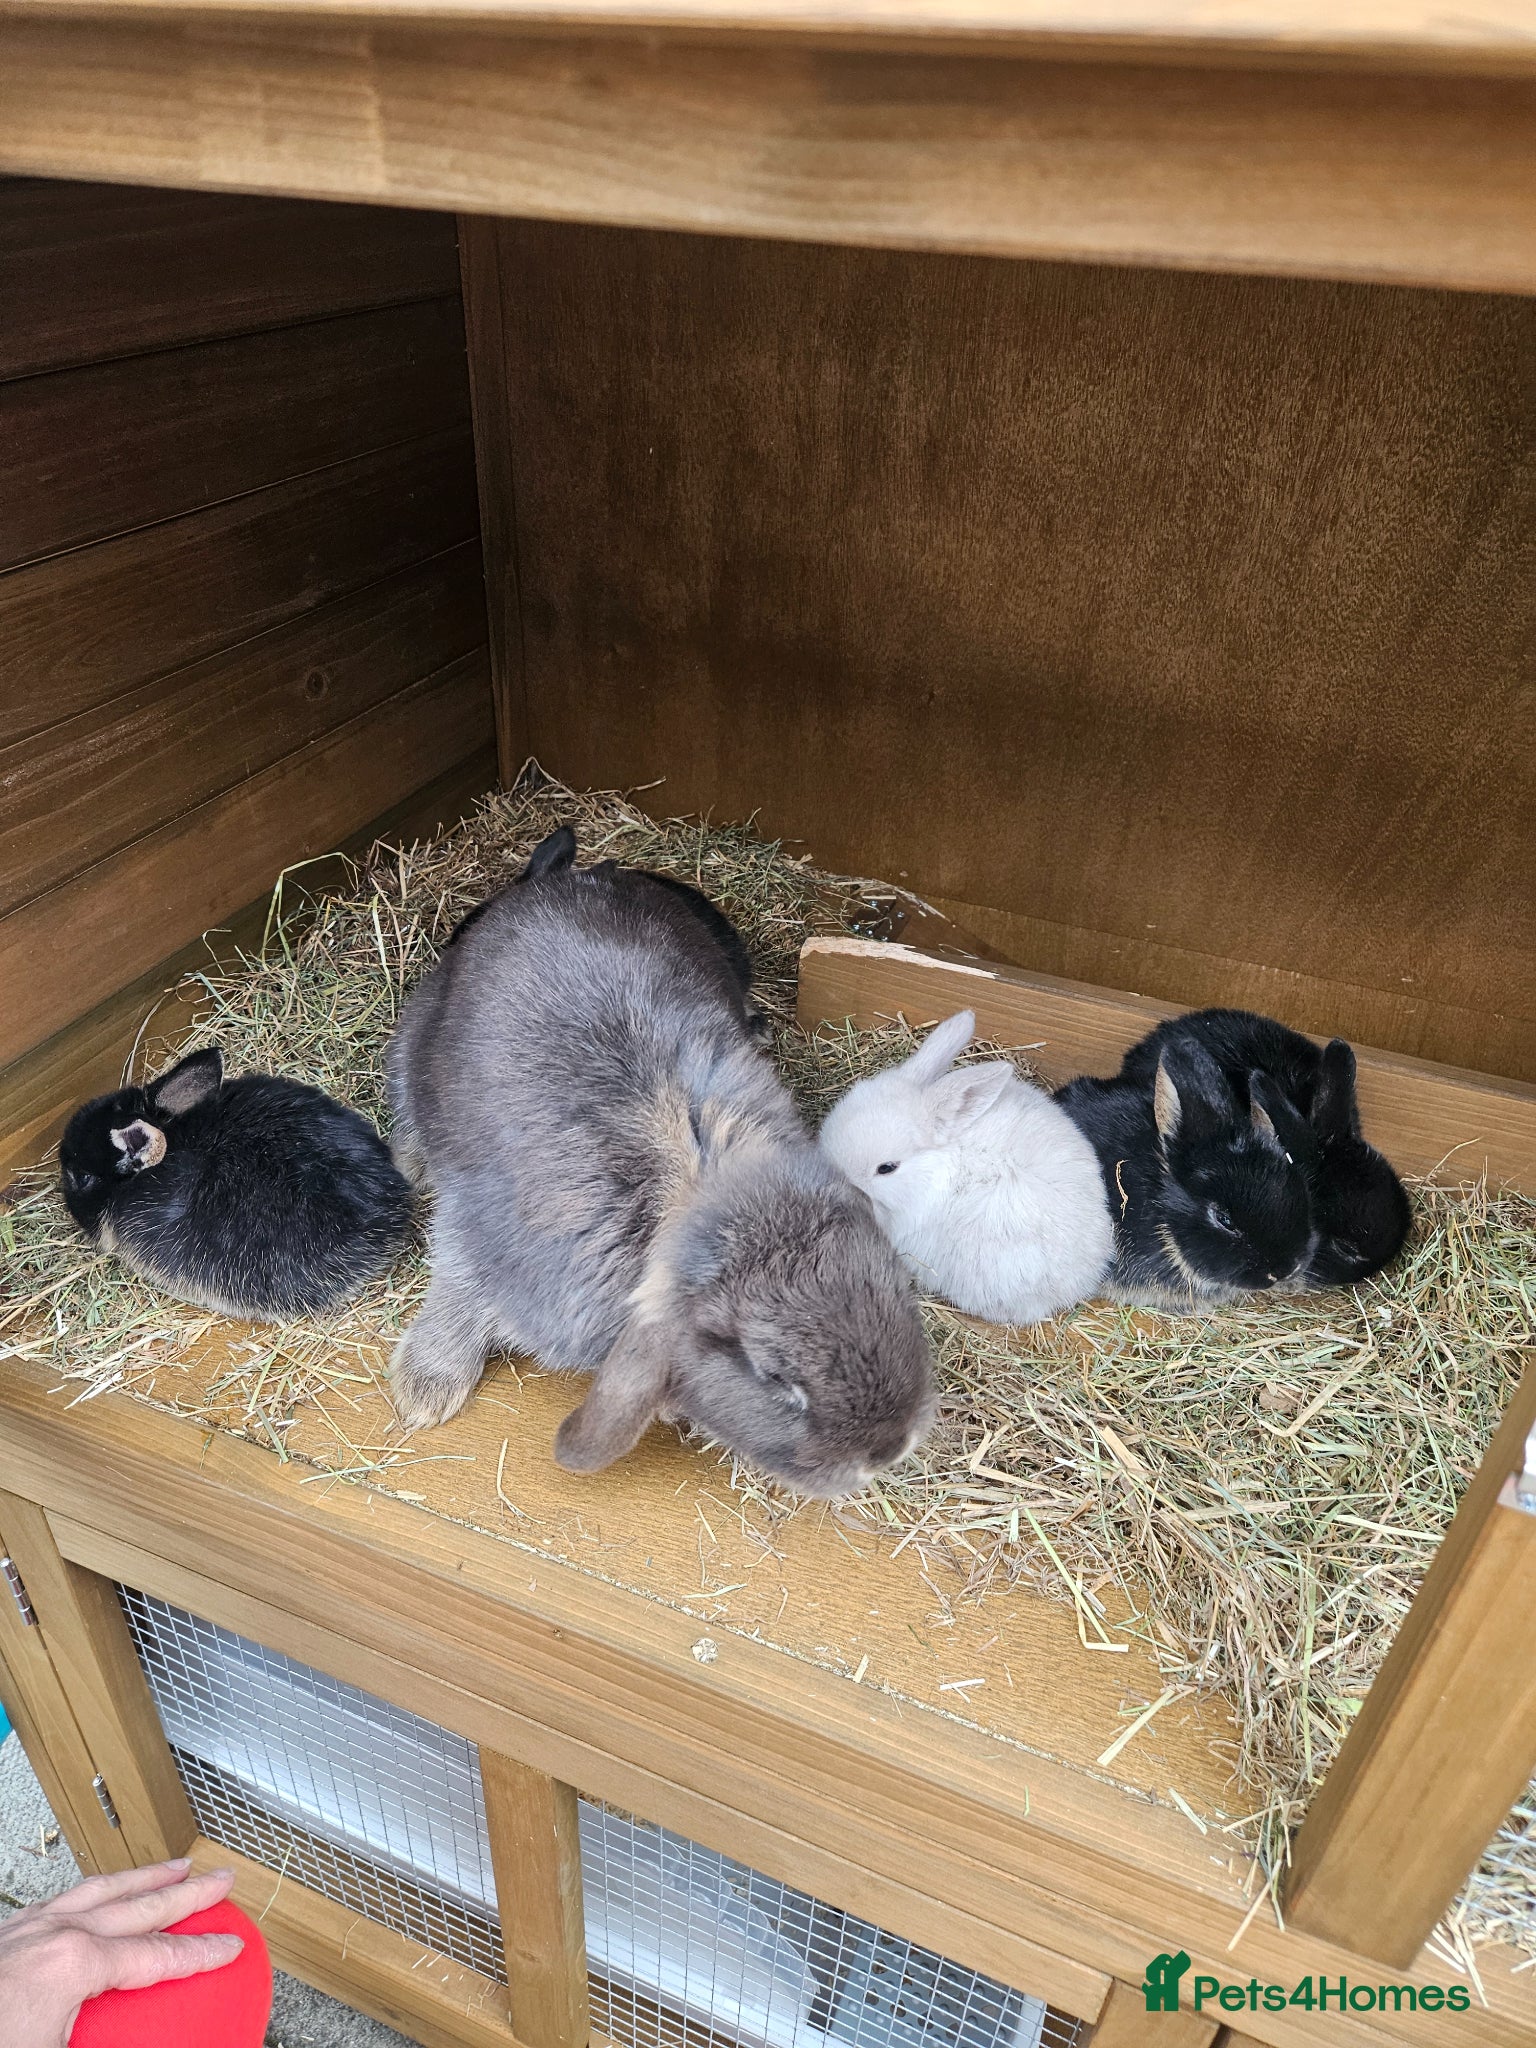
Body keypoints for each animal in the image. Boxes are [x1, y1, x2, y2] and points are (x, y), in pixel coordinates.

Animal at [385, 824, 934, 1495]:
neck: (693, 1191)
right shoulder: (477, 1232)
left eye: (897, 1285)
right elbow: (457, 1291)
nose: (893, 1450)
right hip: (415, 1046)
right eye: (775, 1380)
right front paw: (422, 1393)